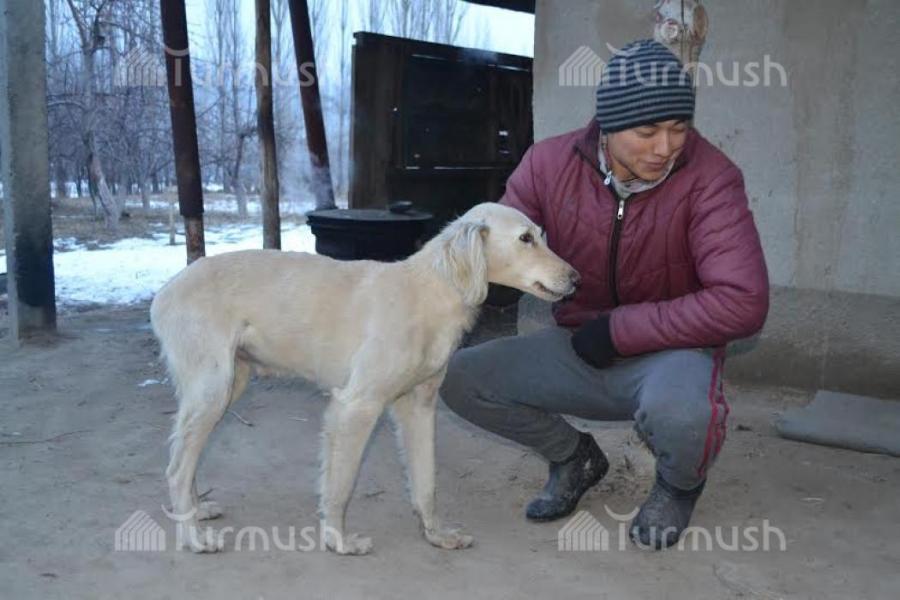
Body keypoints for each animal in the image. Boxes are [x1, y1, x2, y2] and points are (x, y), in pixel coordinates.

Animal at [150, 202, 579, 554]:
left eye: (542, 235)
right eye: (525, 239)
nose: (576, 279)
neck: (429, 292)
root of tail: (164, 292)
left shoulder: (418, 407)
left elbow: (426, 482)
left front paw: (436, 534)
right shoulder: (355, 405)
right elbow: (340, 485)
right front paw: (338, 541)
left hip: (227, 387)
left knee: (185, 458)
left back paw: (195, 511)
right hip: (212, 390)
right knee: (175, 468)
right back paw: (192, 537)